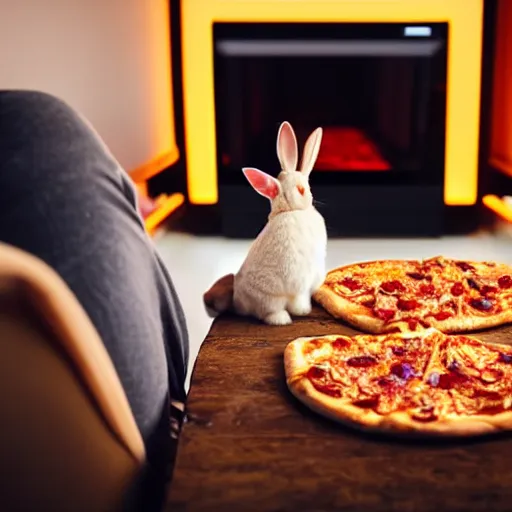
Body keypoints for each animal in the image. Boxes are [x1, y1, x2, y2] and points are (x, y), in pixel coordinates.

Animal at [204, 121, 328, 324]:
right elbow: (299, 296)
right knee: (269, 312)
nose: (308, 196)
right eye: (301, 189)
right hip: (271, 299)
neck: (291, 210)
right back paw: (283, 319)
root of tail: (239, 304)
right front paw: (302, 312)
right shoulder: (300, 279)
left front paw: (304, 311)